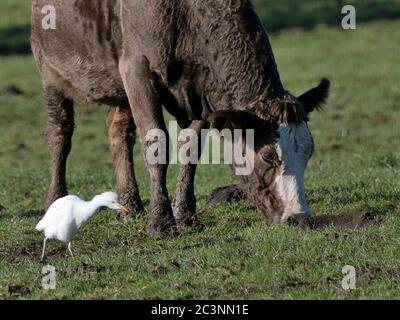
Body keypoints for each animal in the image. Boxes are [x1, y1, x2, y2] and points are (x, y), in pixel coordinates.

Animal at [30, 0, 332, 235]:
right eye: (269, 157)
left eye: (308, 152)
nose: (300, 218)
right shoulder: (137, 69)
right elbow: (157, 146)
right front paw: (161, 222)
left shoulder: (198, 92)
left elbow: (191, 150)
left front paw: (185, 214)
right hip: (49, 69)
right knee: (60, 134)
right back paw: (54, 201)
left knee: (119, 131)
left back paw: (130, 205)